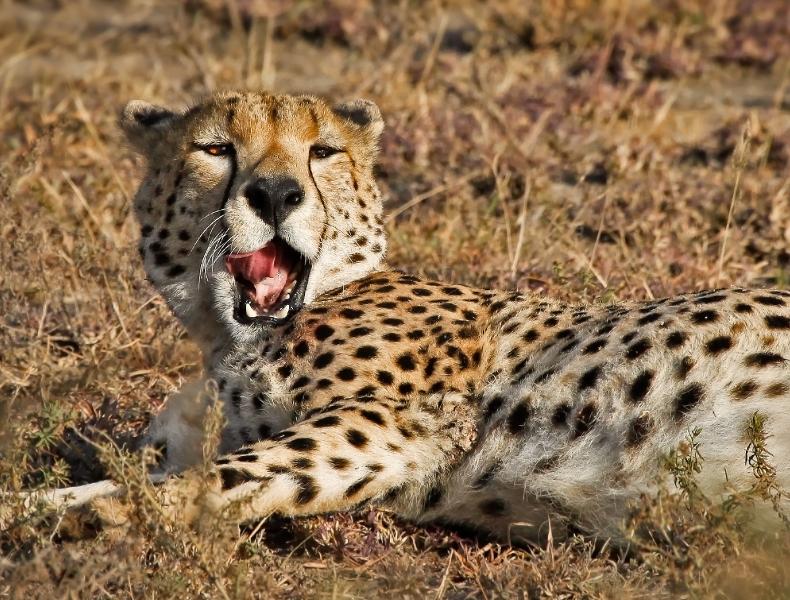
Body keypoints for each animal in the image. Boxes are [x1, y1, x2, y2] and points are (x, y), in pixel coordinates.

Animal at [17, 90, 790, 545]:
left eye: (322, 150)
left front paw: (48, 512)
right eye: (216, 149)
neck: (229, 335)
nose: (276, 193)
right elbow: (173, 469)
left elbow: (212, 477)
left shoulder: (395, 427)